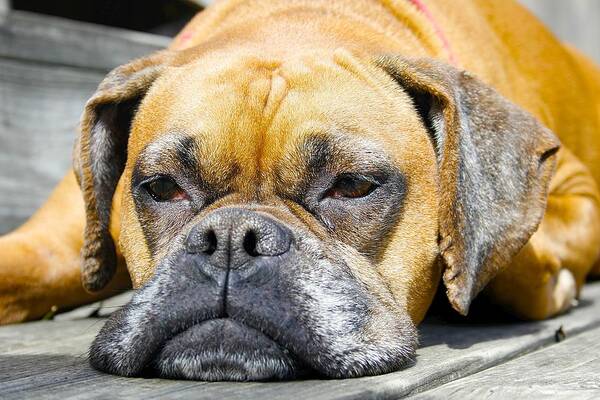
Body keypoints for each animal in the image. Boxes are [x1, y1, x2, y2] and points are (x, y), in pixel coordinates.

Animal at [1, 0, 600, 382]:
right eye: (163, 188)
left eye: (353, 186)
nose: (231, 239)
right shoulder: (48, 246)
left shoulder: (578, 193)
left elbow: (511, 250)